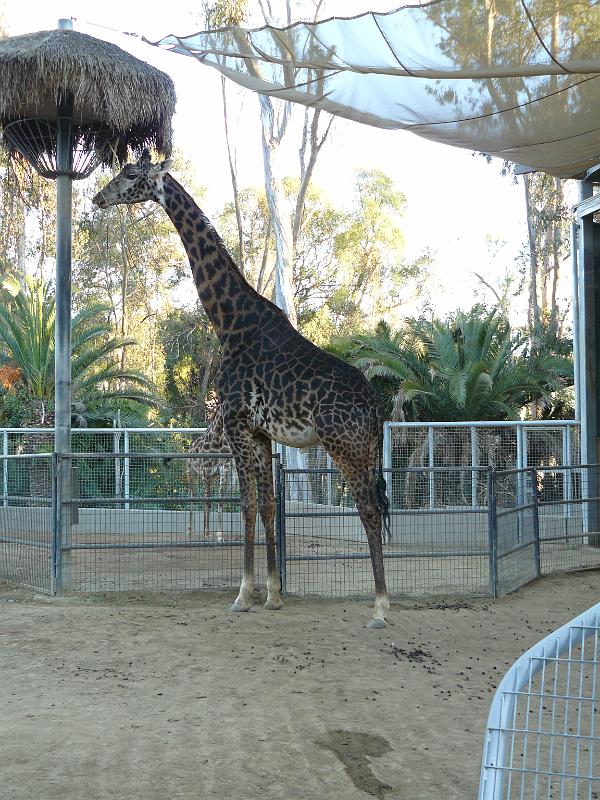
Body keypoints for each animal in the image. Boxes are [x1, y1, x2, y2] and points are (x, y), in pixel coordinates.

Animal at [93, 151, 390, 628]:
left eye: (131, 175)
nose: (99, 197)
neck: (229, 323)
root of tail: (375, 406)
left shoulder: (234, 421)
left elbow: (247, 504)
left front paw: (243, 594)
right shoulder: (260, 432)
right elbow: (268, 505)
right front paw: (274, 594)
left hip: (345, 444)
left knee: (367, 508)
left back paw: (380, 607)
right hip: (361, 447)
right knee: (373, 506)